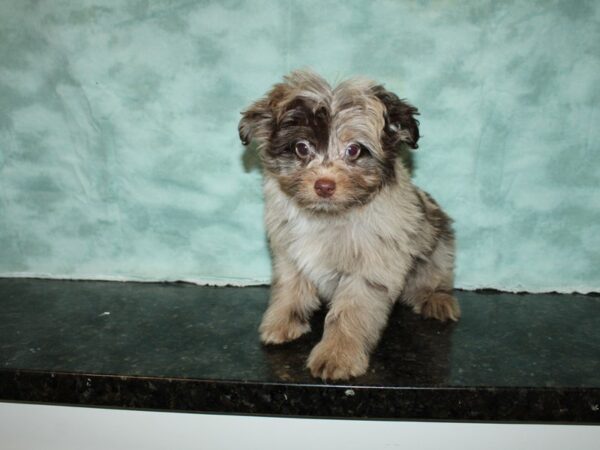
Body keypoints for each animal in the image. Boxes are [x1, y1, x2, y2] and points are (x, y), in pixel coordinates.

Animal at [237, 70, 458, 380]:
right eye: (301, 148)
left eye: (354, 150)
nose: (324, 185)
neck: (328, 215)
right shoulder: (288, 252)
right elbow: (289, 288)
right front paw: (281, 321)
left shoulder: (370, 266)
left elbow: (350, 311)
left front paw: (337, 354)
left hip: (438, 242)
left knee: (436, 275)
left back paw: (436, 299)